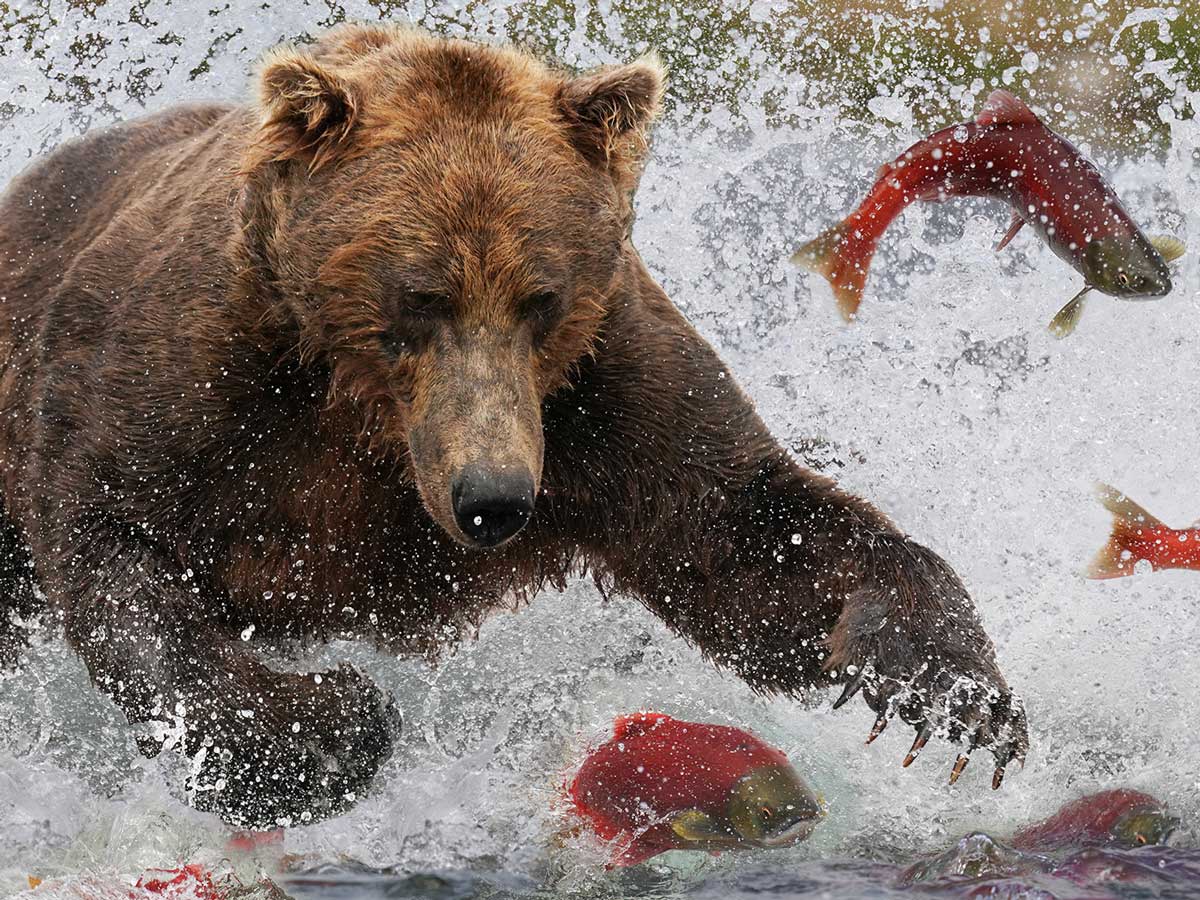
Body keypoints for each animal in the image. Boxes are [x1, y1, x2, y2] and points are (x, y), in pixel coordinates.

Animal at [0, 24, 1027, 830]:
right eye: (420, 294)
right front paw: (326, 729)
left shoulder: (602, 395)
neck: (361, 414)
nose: (493, 499)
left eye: (541, 298)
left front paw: (951, 691)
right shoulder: (196, 377)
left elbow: (747, 533)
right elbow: (118, 544)